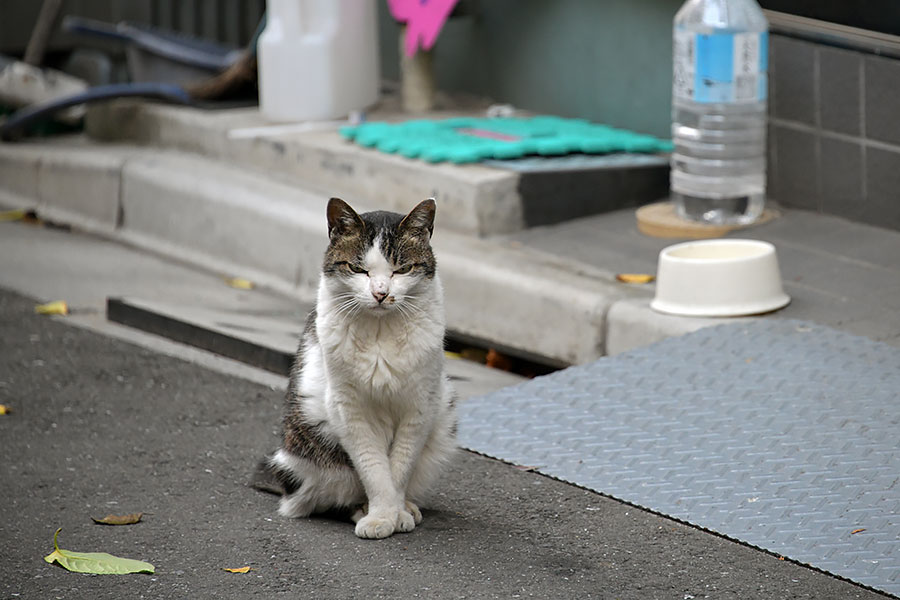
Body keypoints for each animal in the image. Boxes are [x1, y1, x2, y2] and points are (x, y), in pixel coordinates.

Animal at [258, 197, 458, 540]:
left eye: (402, 269)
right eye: (358, 269)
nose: (381, 293)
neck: (381, 333)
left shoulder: (420, 406)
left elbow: (399, 468)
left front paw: (397, 512)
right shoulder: (349, 410)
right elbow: (374, 468)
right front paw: (381, 517)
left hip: (442, 421)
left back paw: (409, 507)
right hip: (313, 450)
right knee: (329, 497)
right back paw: (360, 508)